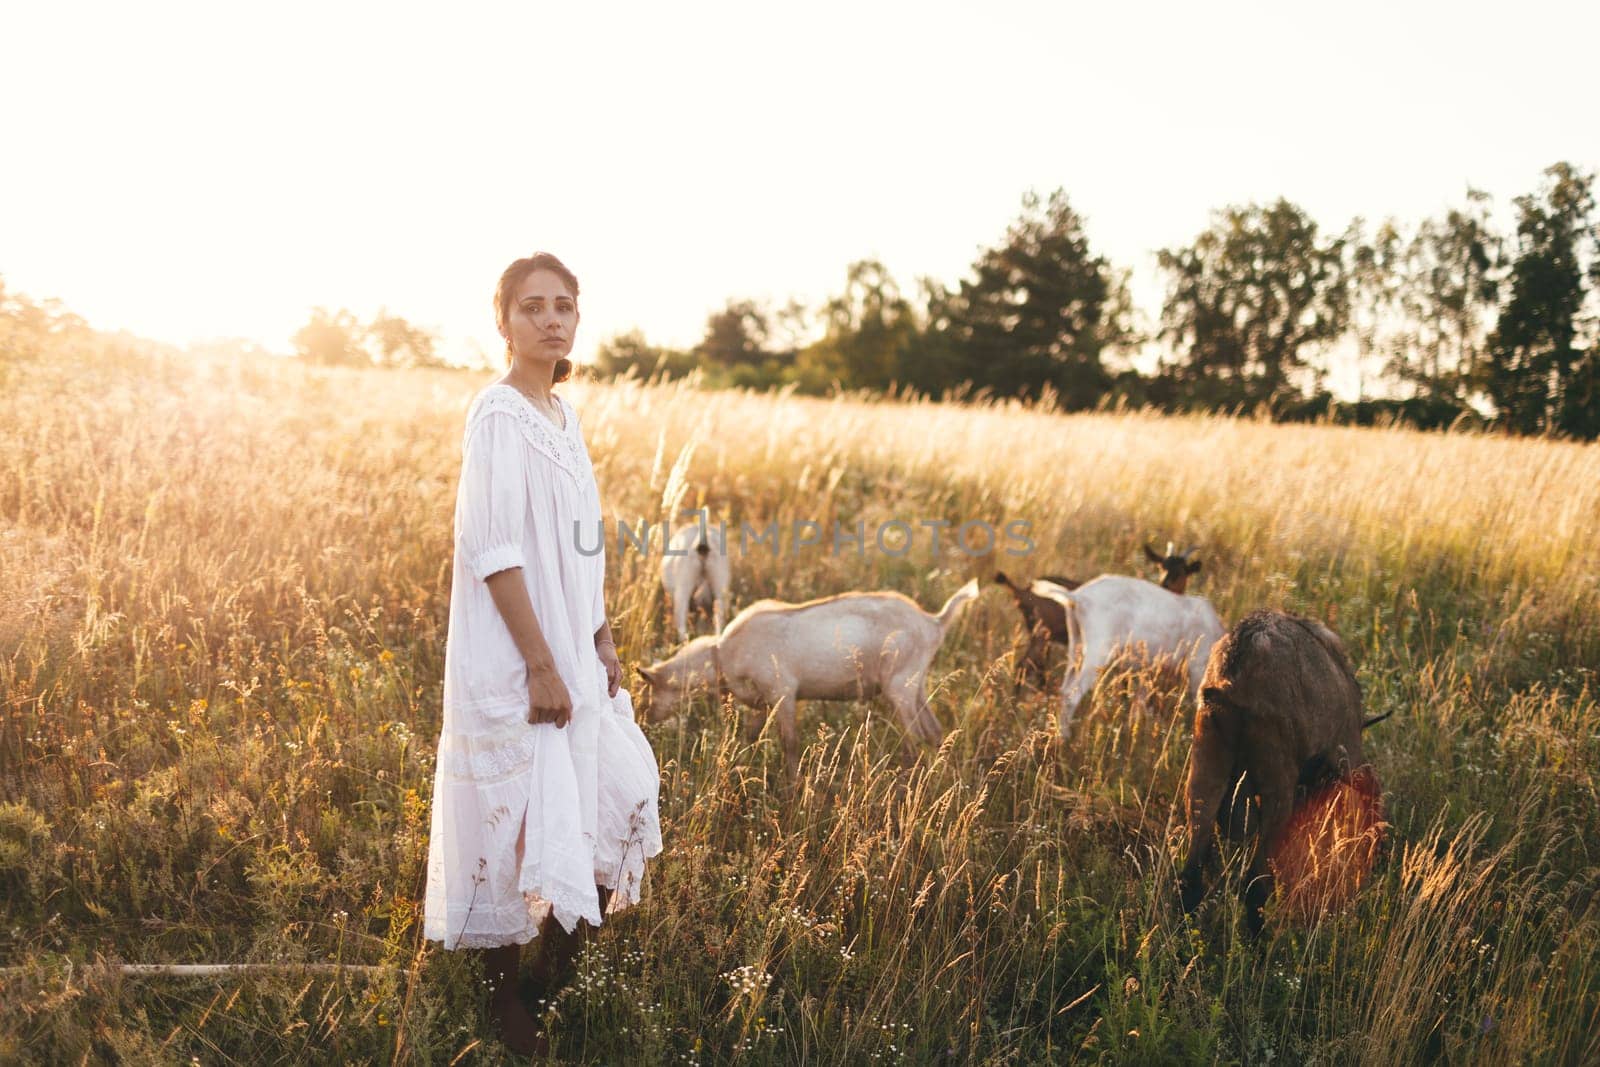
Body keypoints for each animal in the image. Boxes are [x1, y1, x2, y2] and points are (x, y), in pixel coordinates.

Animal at [633, 579, 979, 780]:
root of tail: (933, 622)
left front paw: (794, 788)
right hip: (915, 684)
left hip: (899, 685)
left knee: (914, 740)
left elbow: (789, 743)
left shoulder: (783, 692)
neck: (721, 654)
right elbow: (752, 736)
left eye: (648, 694)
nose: (647, 719)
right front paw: (740, 768)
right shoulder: (763, 702)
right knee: (935, 731)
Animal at [1030, 575, 1216, 742]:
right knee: (1071, 695)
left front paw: (1134, 732)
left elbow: (1138, 705)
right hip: (1097, 650)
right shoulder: (1197, 669)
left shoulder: (1148, 672)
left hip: (1076, 645)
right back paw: (1064, 739)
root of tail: (1078, 598)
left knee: (1064, 690)